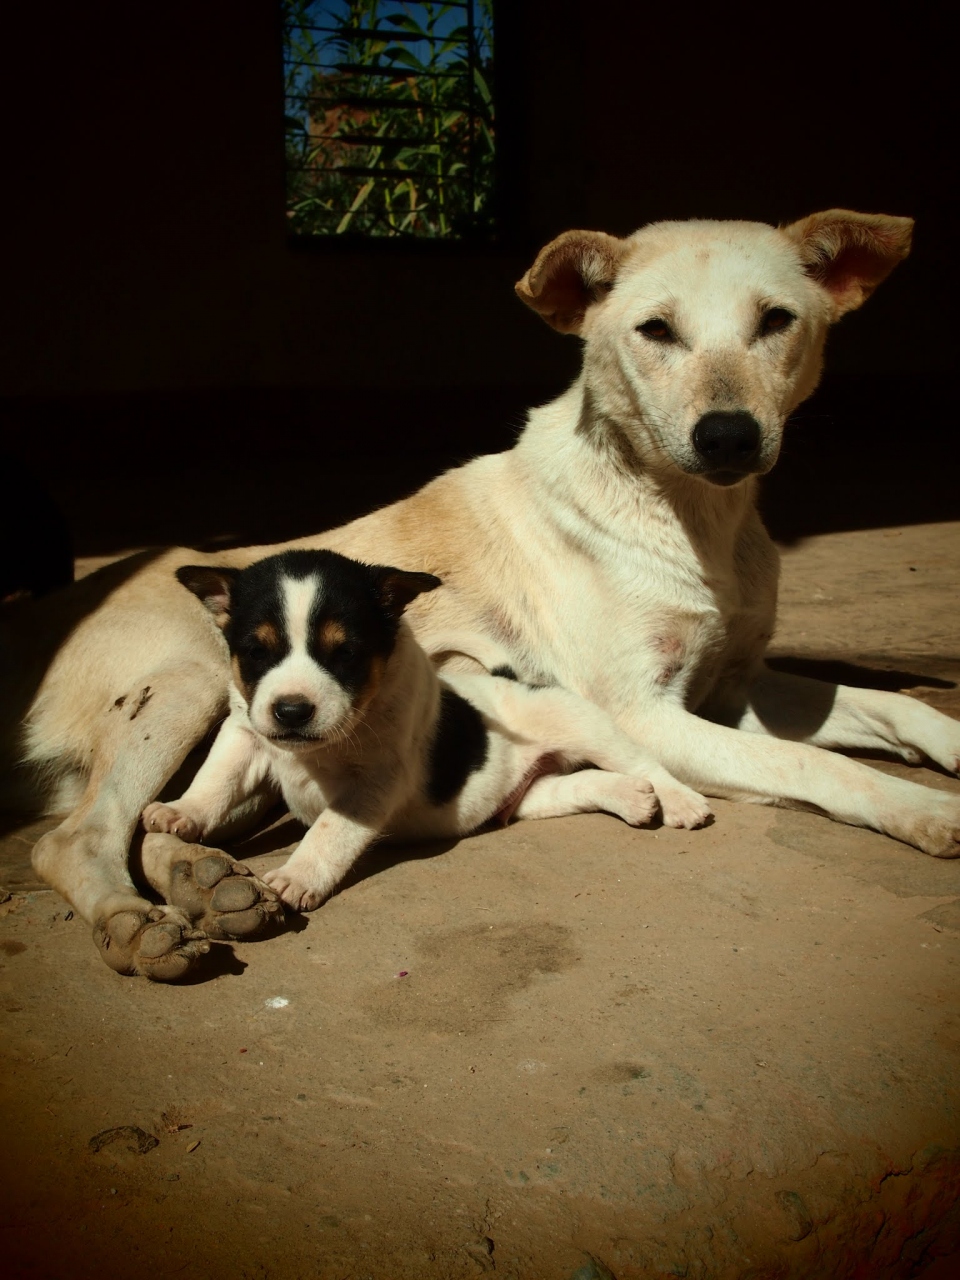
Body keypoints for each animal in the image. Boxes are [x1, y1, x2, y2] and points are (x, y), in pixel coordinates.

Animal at [144, 550, 716, 911]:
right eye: (256, 651)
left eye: (345, 653)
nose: (291, 711)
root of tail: (513, 679)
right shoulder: (243, 736)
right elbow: (214, 781)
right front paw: (181, 812)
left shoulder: (373, 781)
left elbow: (329, 830)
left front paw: (297, 876)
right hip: (531, 794)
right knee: (581, 784)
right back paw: (632, 800)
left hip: (582, 724)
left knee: (641, 761)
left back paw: (681, 803)